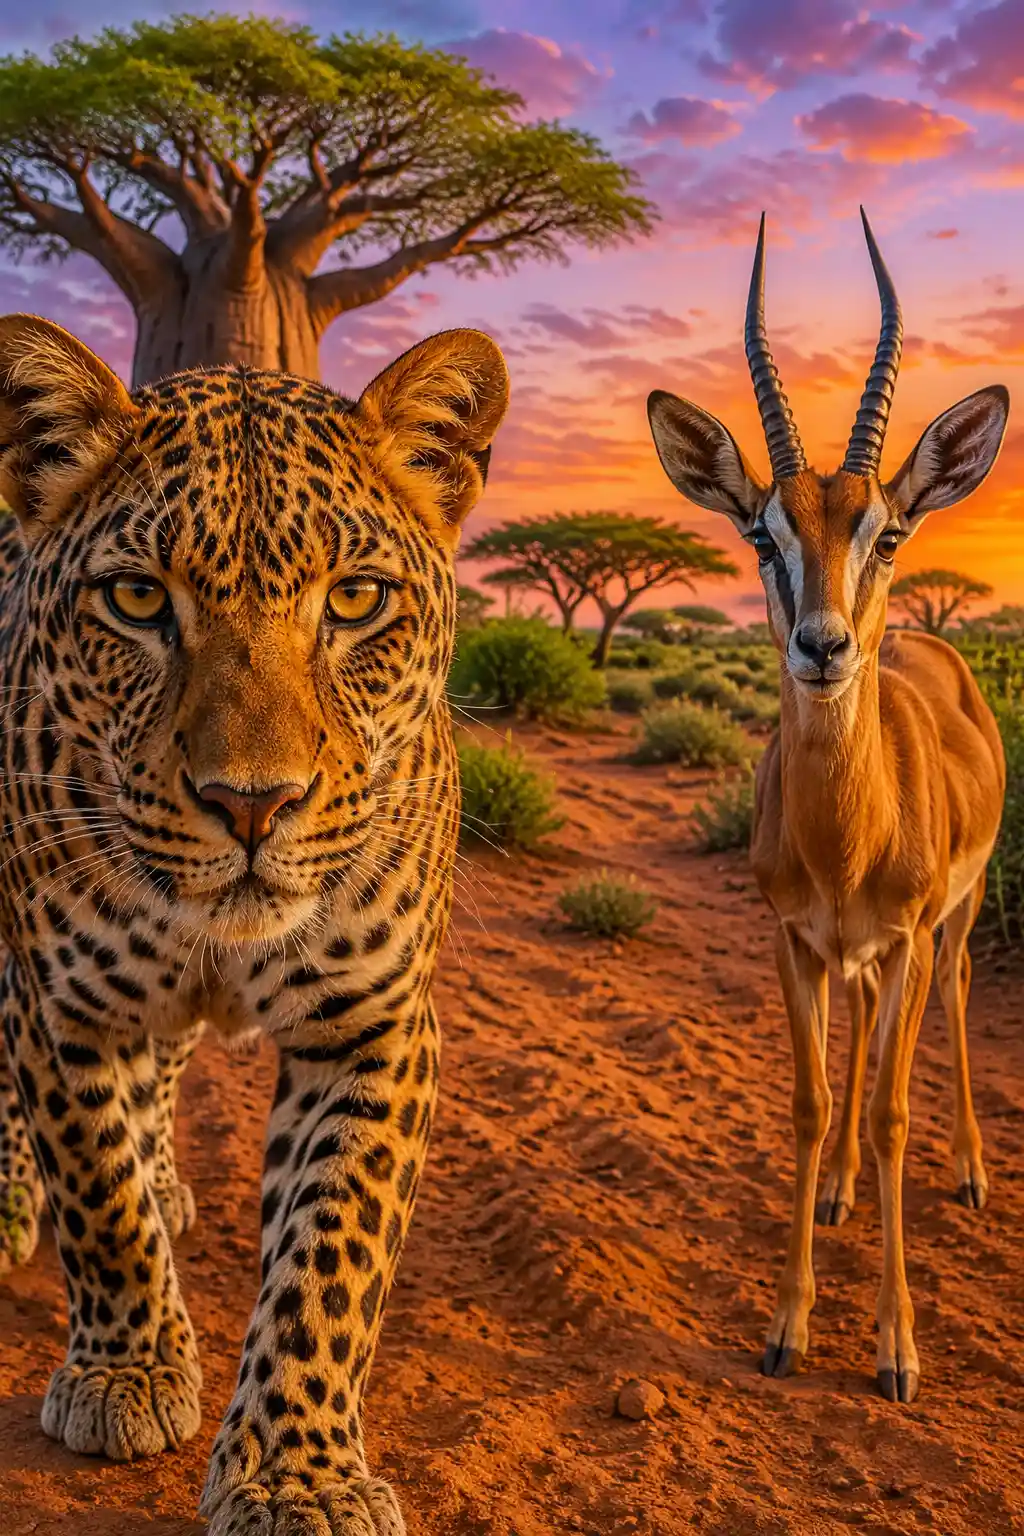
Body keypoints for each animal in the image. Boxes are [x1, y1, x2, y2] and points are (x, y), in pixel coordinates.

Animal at [0, 312, 509, 1534]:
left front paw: (298, 1477)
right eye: (139, 601)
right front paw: (127, 1373)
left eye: (357, 600)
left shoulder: (375, 1030)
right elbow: (96, 1190)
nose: (251, 802)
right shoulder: (62, 1005)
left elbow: (330, 1259)